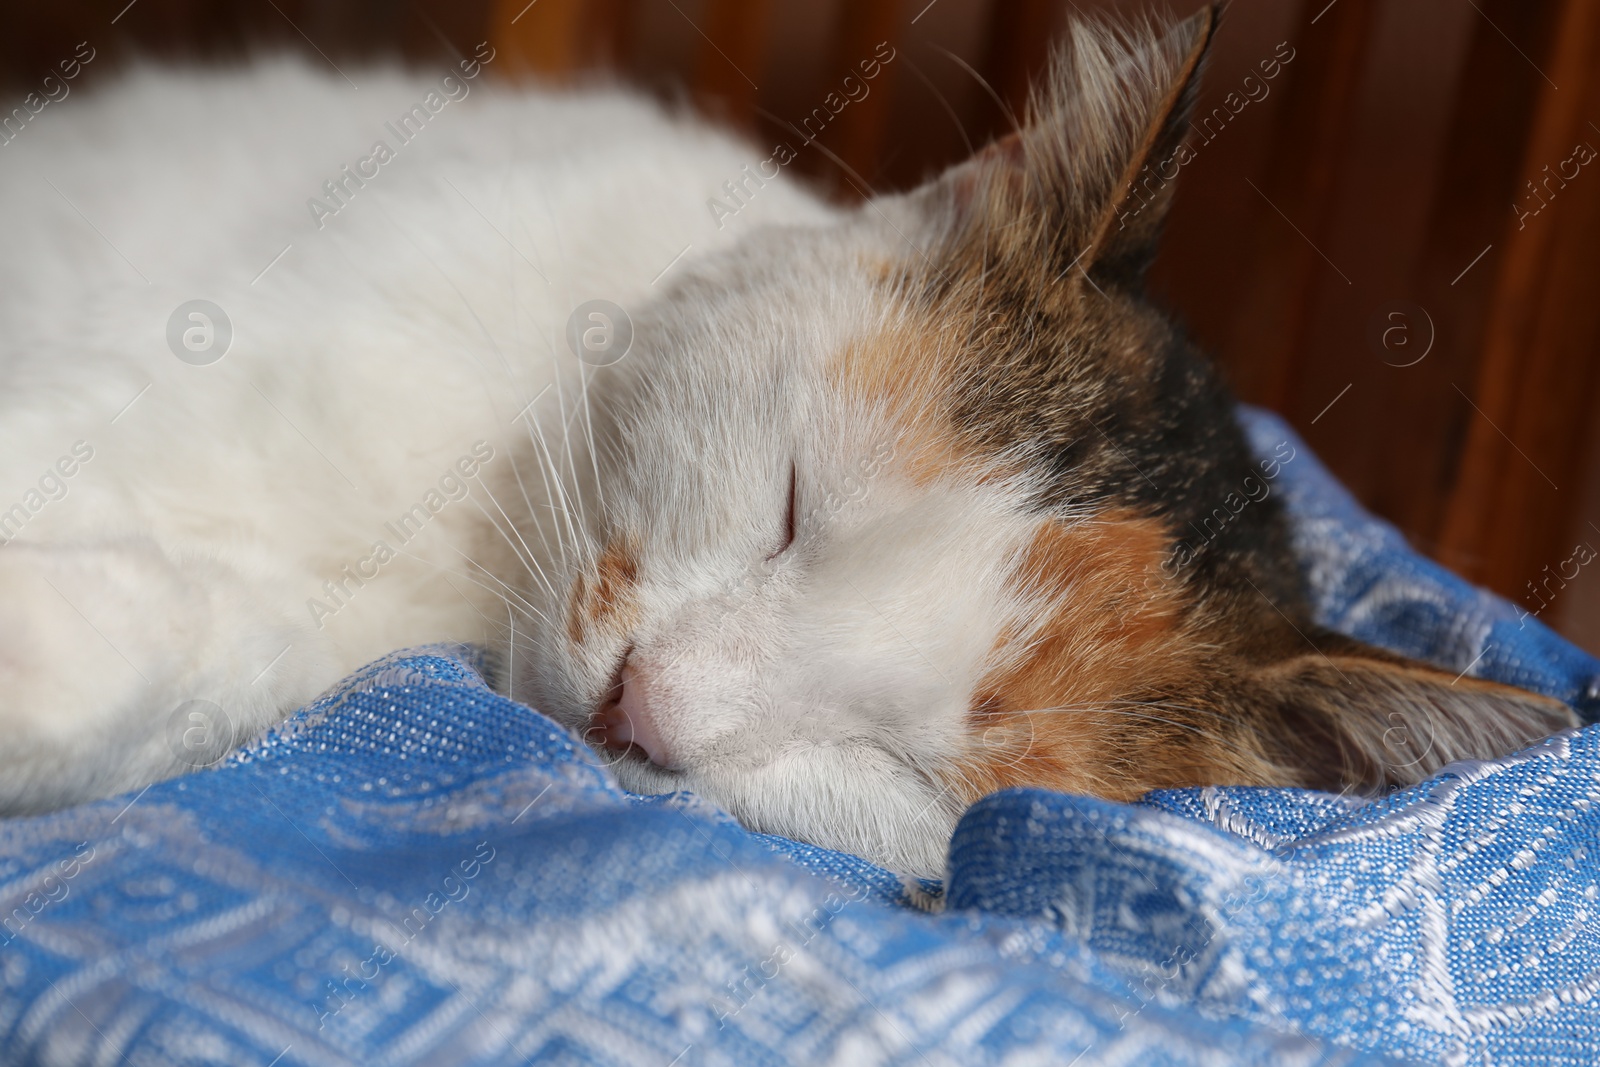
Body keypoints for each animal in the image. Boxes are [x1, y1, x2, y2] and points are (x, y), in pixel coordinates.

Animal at [0, 6, 1574, 876]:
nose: (641, 706)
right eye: (796, 502)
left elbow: (200, 654)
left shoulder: (312, 641)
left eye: (895, 761)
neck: (483, 532)